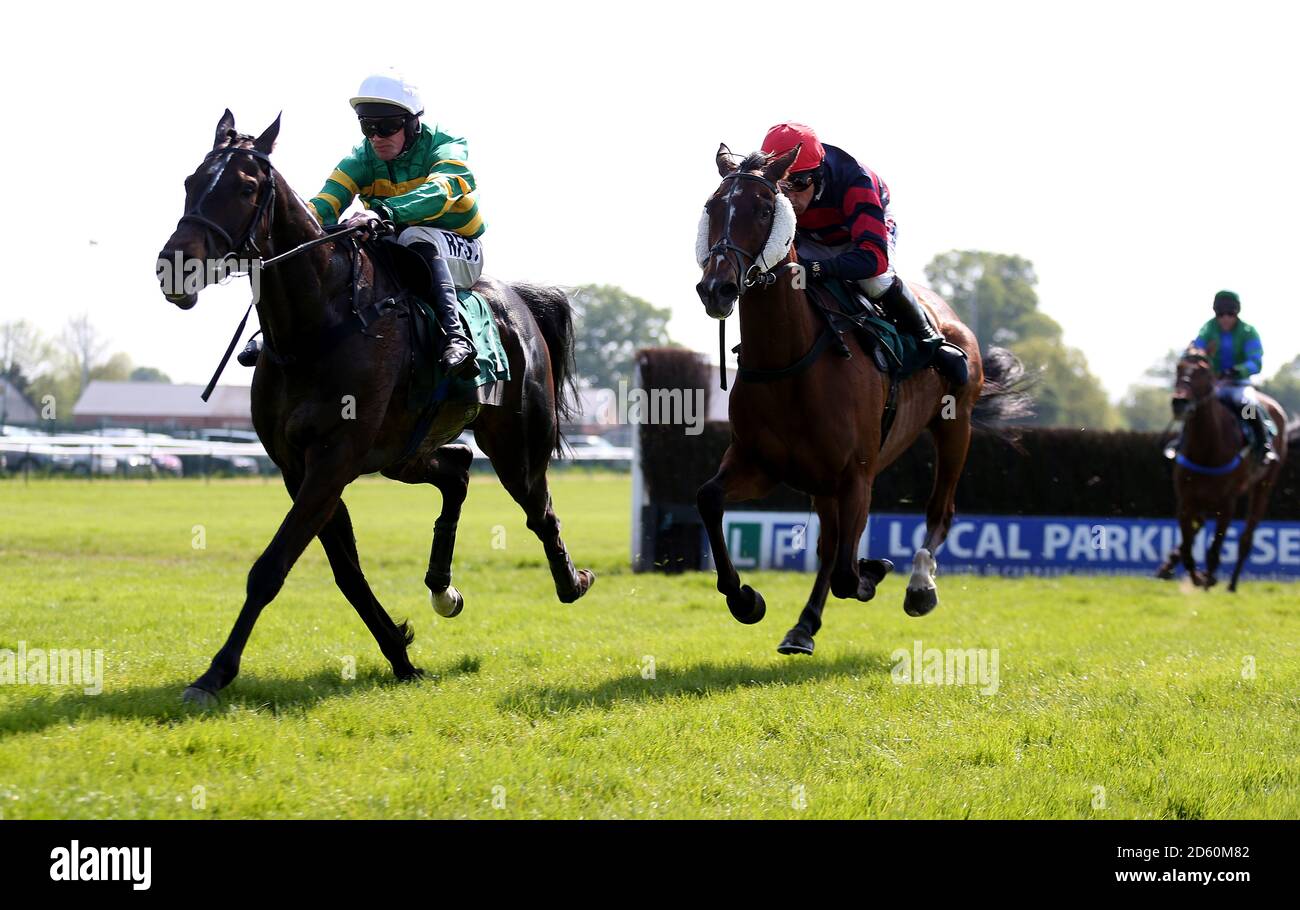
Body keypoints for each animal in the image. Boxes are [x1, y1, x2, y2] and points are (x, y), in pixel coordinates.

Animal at [158, 111, 598, 702]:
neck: (316, 328)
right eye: (190, 181)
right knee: (457, 470)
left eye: (246, 187)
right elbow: (345, 571)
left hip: (517, 447)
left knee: (540, 511)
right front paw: (400, 652)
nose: (173, 266)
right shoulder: (299, 468)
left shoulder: (334, 459)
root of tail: (521, 303)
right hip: (402, 453)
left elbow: (270, 568)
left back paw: (572, 581)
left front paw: (215, 674)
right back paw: (442, 588)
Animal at [696, 143, 1029, 655]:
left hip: (955, 425)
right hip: (823, 481)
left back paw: (919, 584)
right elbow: (709, 499)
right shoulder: (759, 463)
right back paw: (803, 626)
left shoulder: (858, 474)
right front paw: (745, 598)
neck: (789, 360)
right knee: (831, 545)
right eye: (713, 207)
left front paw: (878, 571)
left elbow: (849, 575)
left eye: (764, 208)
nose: (717, 288)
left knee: (939, 511)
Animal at [1154, 348, 1284, 590]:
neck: (1207, 449)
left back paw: (1232, 583)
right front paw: (1196, 575)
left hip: (1264, 485)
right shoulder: (1186, 500)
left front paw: (1208, 577)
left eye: (1203, 372)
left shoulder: (1227, 502)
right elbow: (1188, 546)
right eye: (1179, 367)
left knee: (1247, 535)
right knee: (1198, 527)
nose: (1180, 402)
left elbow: (1215, 546)